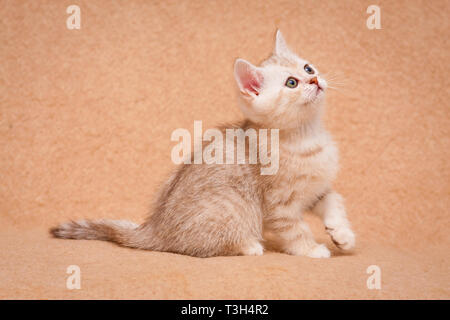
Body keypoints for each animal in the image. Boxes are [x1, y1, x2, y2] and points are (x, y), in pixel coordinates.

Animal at [51, 31, 356, 258]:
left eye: (308, 67)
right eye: (292, 83)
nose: (314, 79)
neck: (308, 135)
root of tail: (154, 228)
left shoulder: (316, 189)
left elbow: (335, 200)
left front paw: (342, 234)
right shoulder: (279, 205)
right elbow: (295, 230)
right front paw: (312, 249)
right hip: (232, 209)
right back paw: (249, 245)